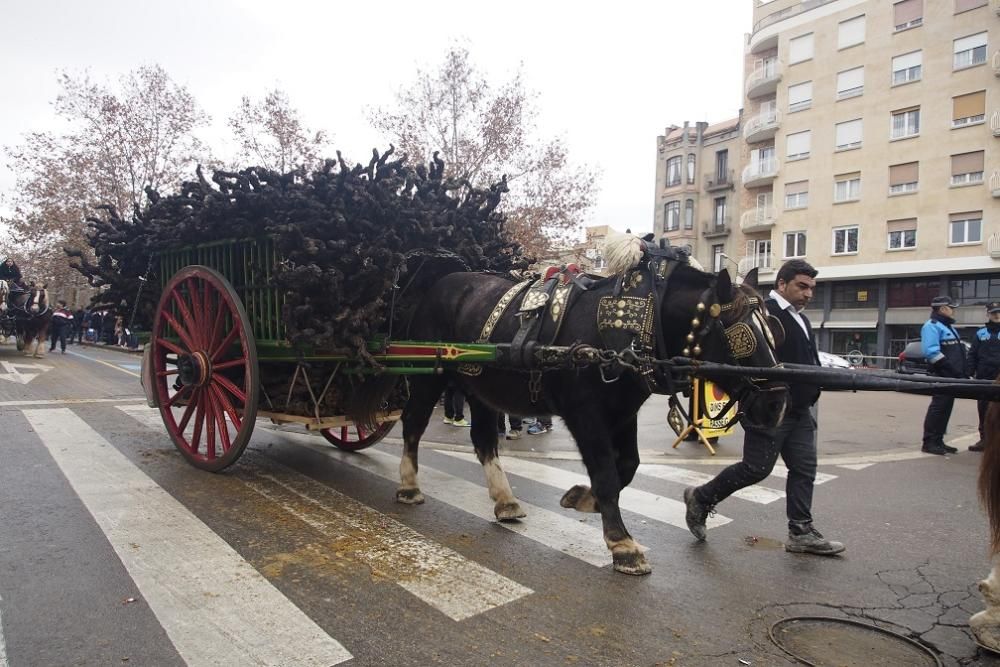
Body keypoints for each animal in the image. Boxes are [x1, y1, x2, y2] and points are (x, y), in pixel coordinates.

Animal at [354, 250, 788, 576]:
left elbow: (627, 466)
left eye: (773, 332)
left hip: (480, 385)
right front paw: (622, 543)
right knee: (414, 424)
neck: (631, 324)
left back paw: (504, 500)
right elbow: (607, 472)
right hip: (431, 376)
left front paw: (583, 498)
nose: (777, 404)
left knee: (484, 440)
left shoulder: (623, 412)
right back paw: (409, 486)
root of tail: (439, 282)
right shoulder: (585, 414)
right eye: (741, 337)